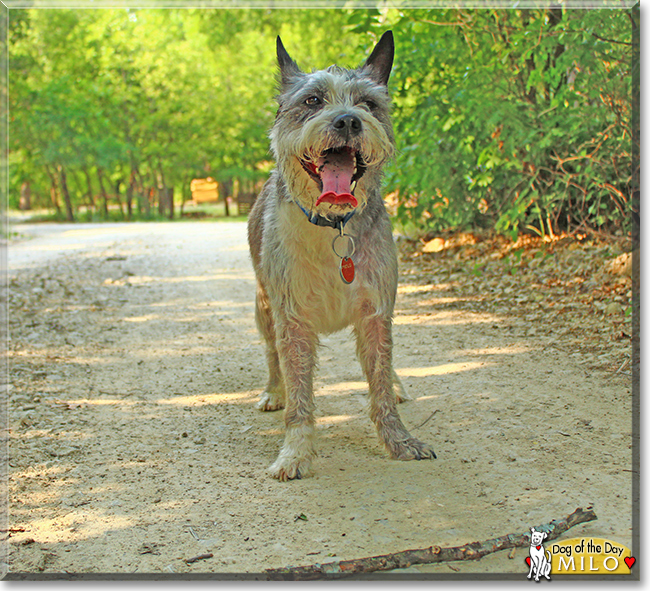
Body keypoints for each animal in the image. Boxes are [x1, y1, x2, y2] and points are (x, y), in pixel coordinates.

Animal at [248, 30, 436, 480]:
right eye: (313, 100)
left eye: (368, 103)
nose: (348, 120)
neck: (333, 226)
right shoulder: (292, 320)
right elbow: (299, 396)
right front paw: (295, 453)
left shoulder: (376, 313)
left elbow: (380, 385)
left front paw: (399, 440)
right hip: (262, 306)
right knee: (271, 355)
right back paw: (273, 390)